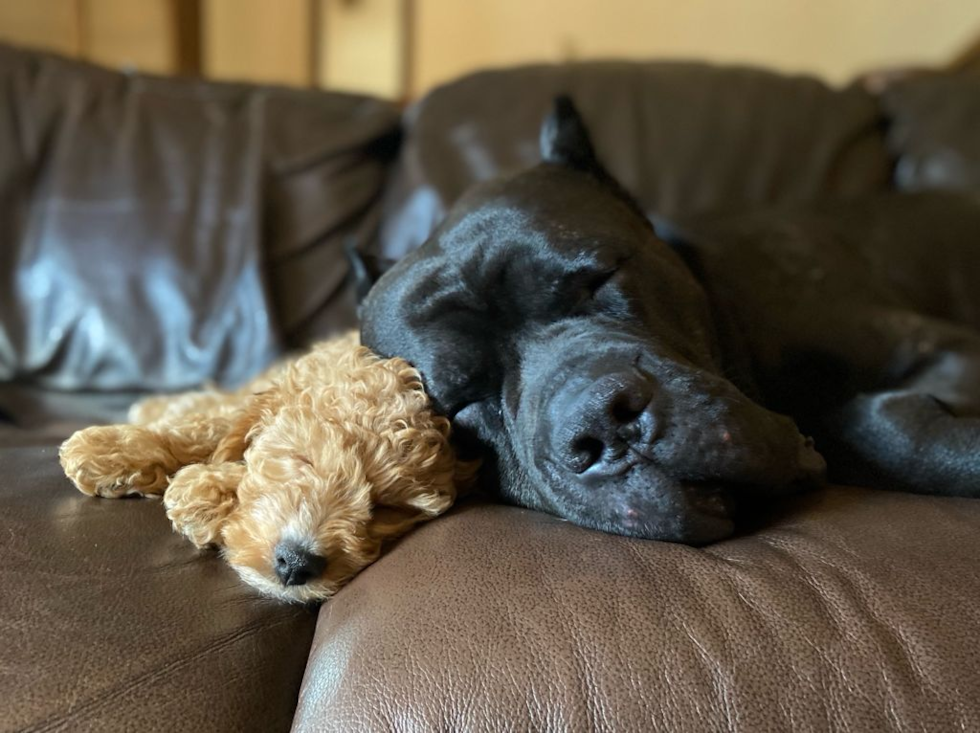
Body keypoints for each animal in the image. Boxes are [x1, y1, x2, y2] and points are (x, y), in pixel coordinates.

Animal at [60, 334, 474, 604]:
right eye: (302, 459)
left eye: (387, 506)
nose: (296, 564)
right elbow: (216, 426)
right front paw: (109, 449)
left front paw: (208, 492)